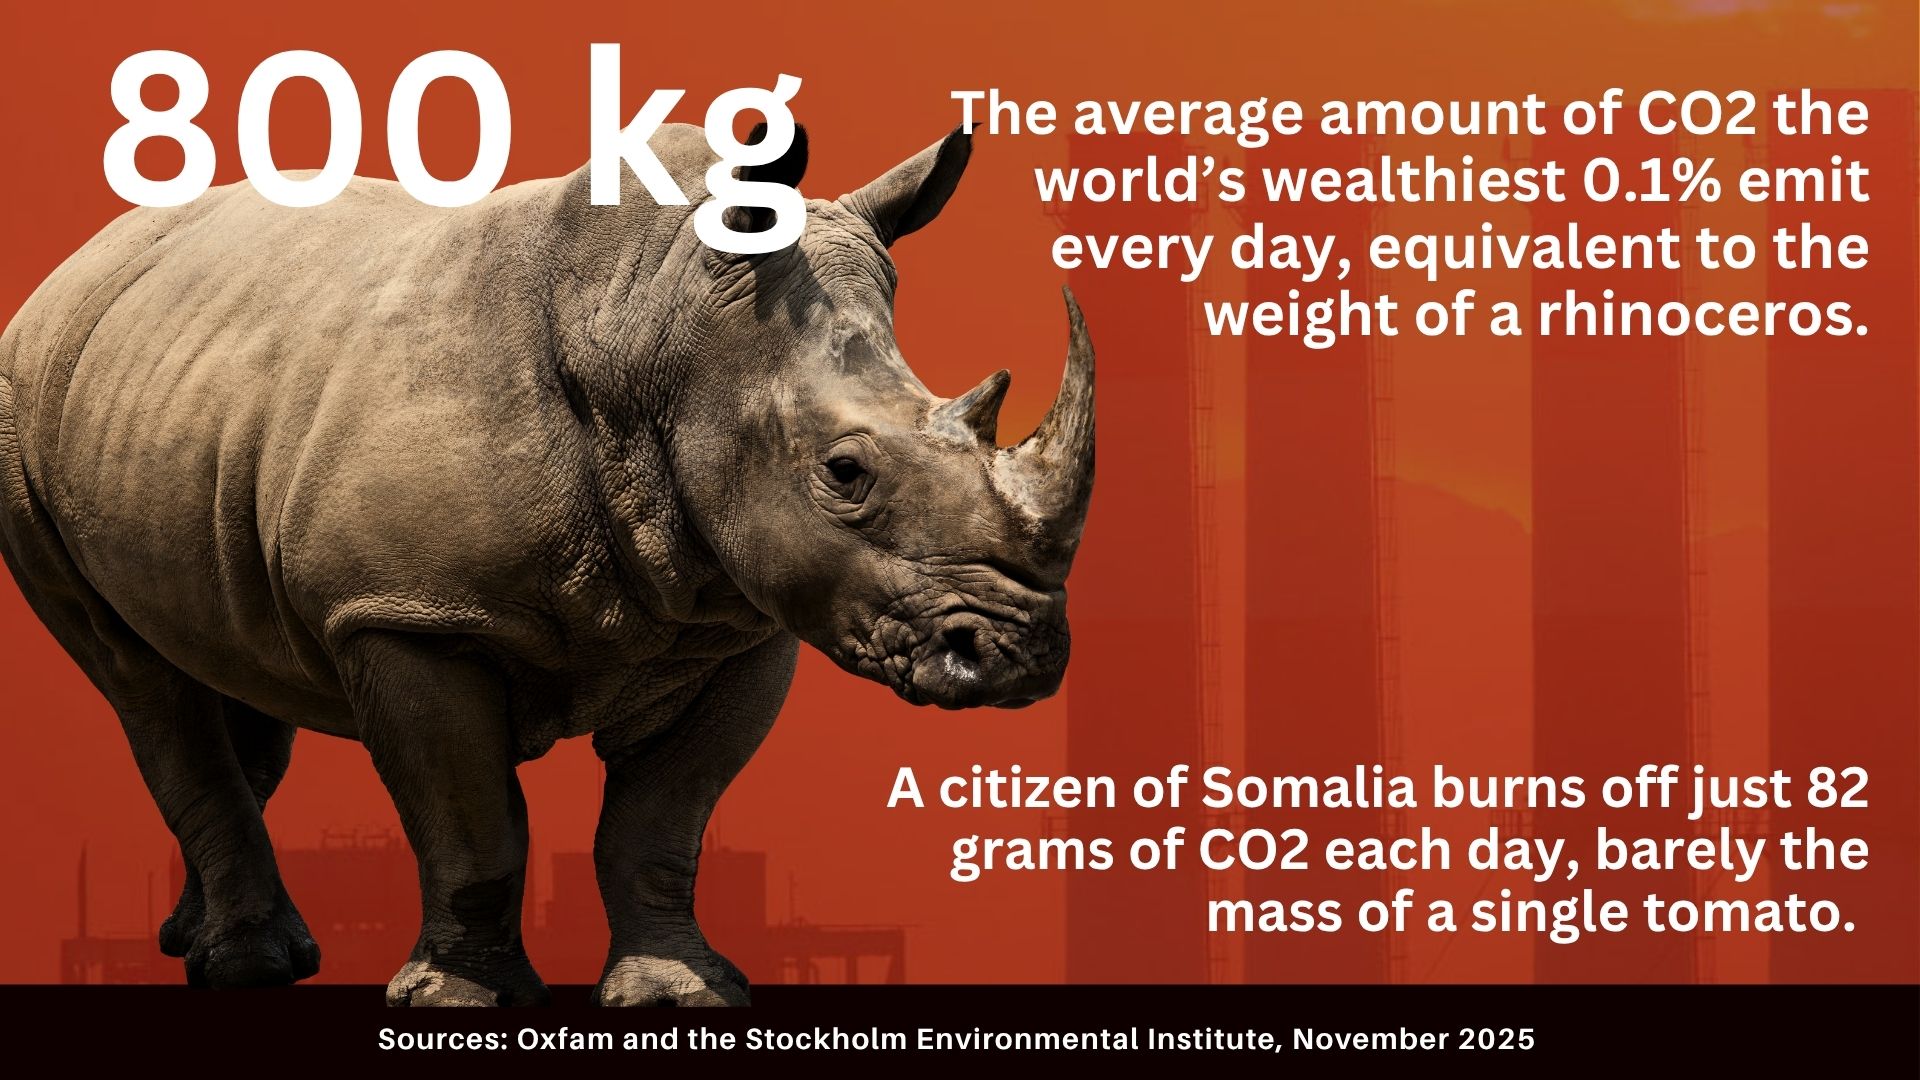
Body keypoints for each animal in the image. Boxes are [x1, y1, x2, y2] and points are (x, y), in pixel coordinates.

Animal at [0, 123, 1093, 1005]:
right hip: (21, 408)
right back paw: (251, 968)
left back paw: (190, 940)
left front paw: (679, 994)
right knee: (139, 679)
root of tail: (74, 266)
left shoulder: (743, 624)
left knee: (226, 664)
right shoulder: (407, 610)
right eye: (846, 472)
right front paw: (462, 1002)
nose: (1020, 657)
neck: (659, 326)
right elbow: (474, 821)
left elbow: (662, 822)